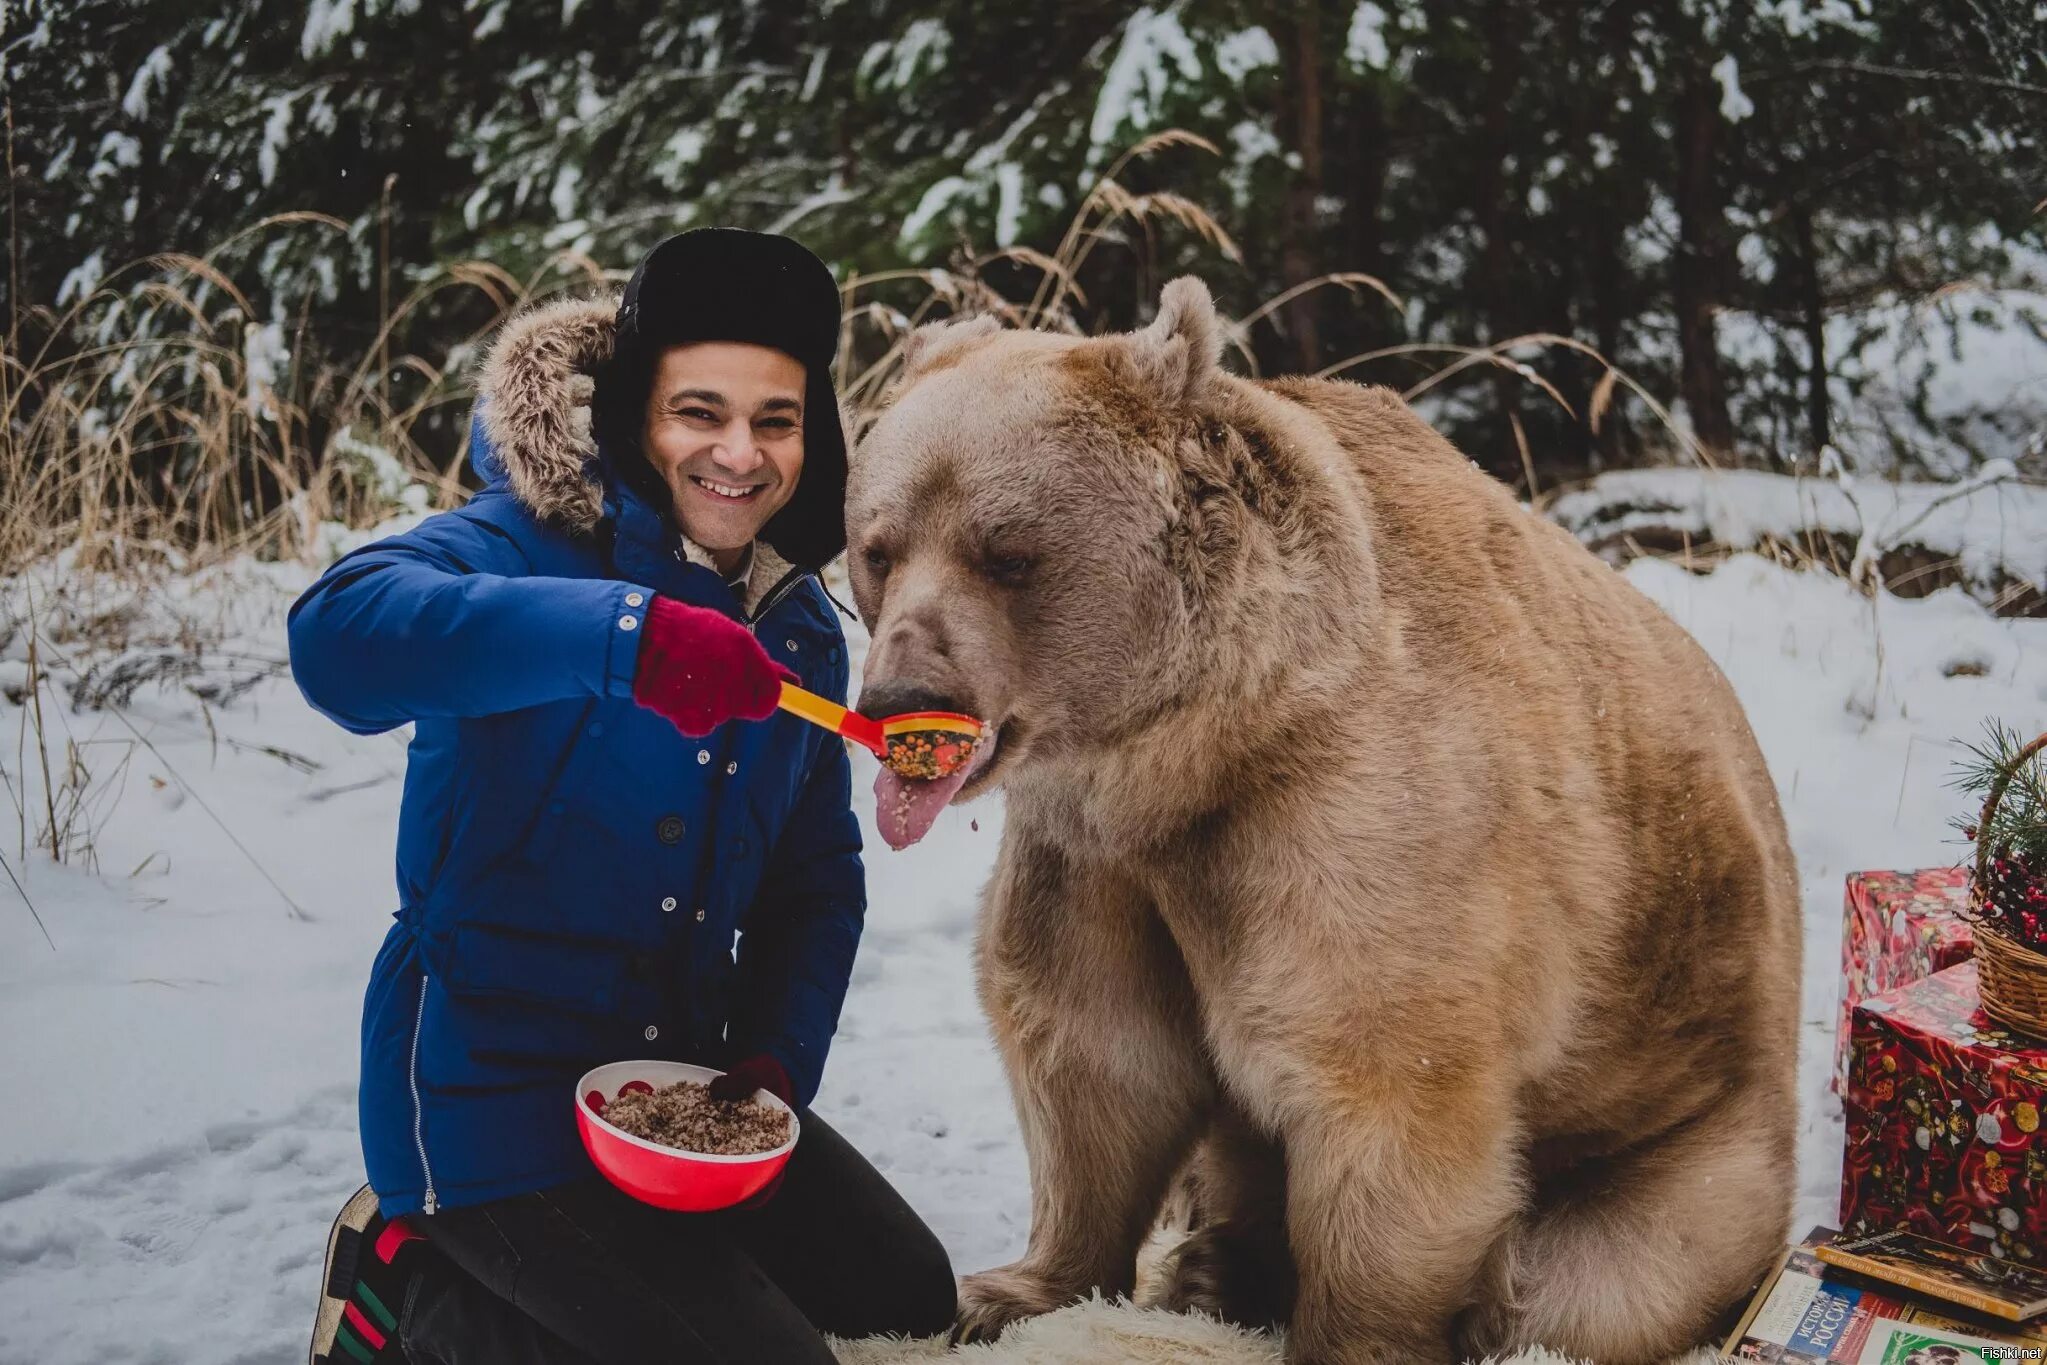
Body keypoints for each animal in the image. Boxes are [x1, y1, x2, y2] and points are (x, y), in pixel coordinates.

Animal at [839, 278, 1801, 1365]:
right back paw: (1215, 1260)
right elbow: (1096, 1055)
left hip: (1691, 1112)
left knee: (1599, 1278)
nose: (901, 695)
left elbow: (1384, 1085)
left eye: (1008, 552)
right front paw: (1004, 1290)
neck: (1189, 753)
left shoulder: (1349, 817)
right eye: (878, 547)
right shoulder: (1091, 858)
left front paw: (1344, 1329)